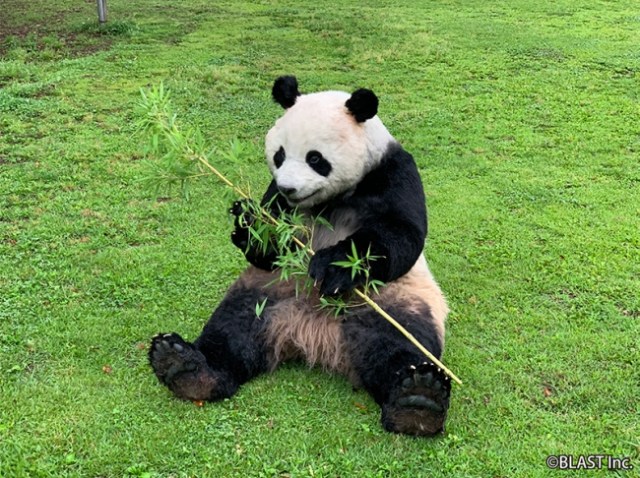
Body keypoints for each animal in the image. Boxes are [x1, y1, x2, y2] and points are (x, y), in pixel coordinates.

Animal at [149, 75, 450, 436]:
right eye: (279, 156)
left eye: (315, 158)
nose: (289, 188)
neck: (328, 201)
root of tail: (311, 331)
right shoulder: (277, 203)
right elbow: (267, 247)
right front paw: (251, 225)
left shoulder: (392, 172)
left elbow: (400, 236)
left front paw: (334, 266)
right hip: (265, 294)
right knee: (232, 330)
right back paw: (185, 367)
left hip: (395, 299)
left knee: (401, 343)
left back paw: (417, 400)